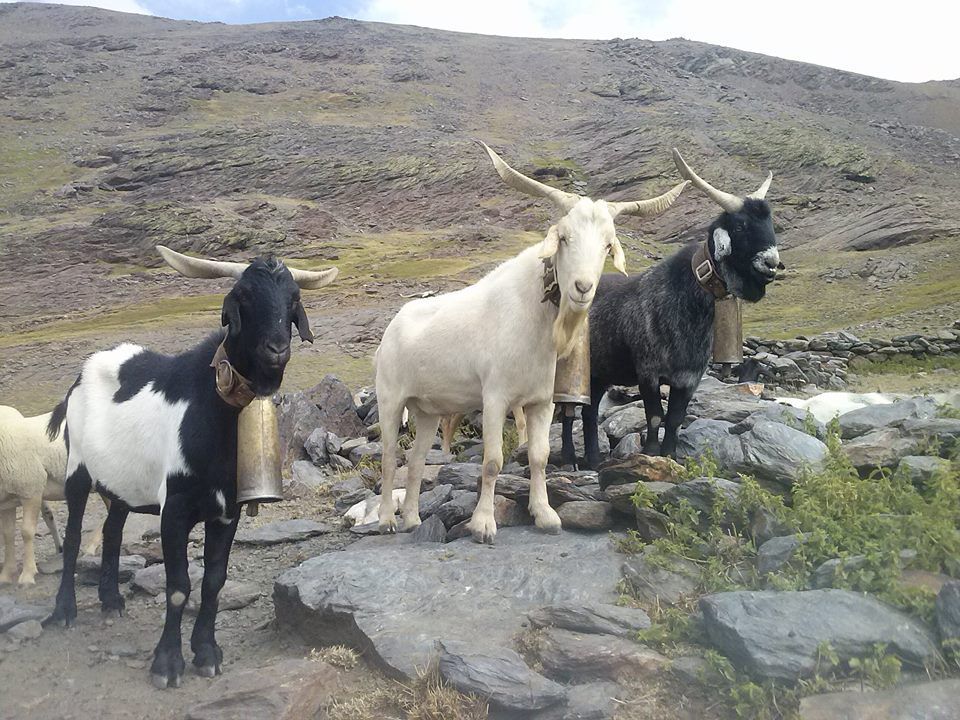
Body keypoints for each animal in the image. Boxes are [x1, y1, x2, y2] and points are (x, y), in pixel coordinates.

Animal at [45, 247, 337, 690]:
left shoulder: (227, 511)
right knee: (76, 536)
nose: (276, 349)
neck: (211, 411)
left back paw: (111, 600)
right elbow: (179, 585)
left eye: (293, 299)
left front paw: (206, 653)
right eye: (243, 296)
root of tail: (84, 373)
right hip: (77, 468)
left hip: (121, 484)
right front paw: (167, 663)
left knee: (112, 531)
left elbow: (214, 582)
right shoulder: (176, 507)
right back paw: (64, 611)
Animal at [376, 142, 687, 543]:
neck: (536, 323)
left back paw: (413, 519)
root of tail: (393, 327)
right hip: (390, 399)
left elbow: (539, 456)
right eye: (564, 238)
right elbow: (493, 461)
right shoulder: (495, 397)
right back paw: (386, 519)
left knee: (415, 461)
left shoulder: (541, 402)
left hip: (428, 410)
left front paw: (545, 515)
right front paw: (483, 524)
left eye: (607, 245)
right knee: (388, 458)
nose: (583, 287)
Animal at [562, 148, 780, 467]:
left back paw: (592, 460)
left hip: (598, 373)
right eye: (740, 225)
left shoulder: (689, 378)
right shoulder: (648, 371)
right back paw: (568, 457)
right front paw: (652, 453)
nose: (771, 264)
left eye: (770, 224)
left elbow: (675, 418)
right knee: (565, 412)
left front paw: (671, 455)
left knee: (589, 413)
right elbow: (655, 415)